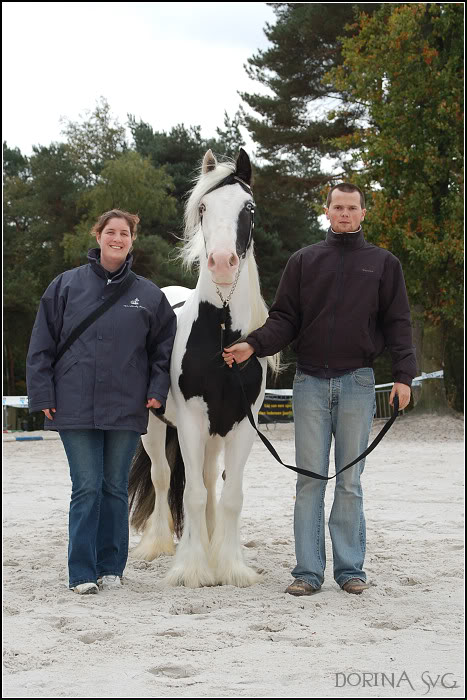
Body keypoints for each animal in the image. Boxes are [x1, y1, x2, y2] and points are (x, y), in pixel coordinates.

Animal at [128, 149, 280, 592]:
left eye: (249, 208)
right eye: (202, 207)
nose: (222, 263)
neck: (222, 334)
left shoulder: (243, 425)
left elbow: (229, 496)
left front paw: (229, 566)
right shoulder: (192, 422)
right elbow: (191, 494)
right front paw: (191, 569)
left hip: (215, 433)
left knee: (210, 481)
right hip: (154, 428)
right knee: (163, 477)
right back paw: (157, 546)